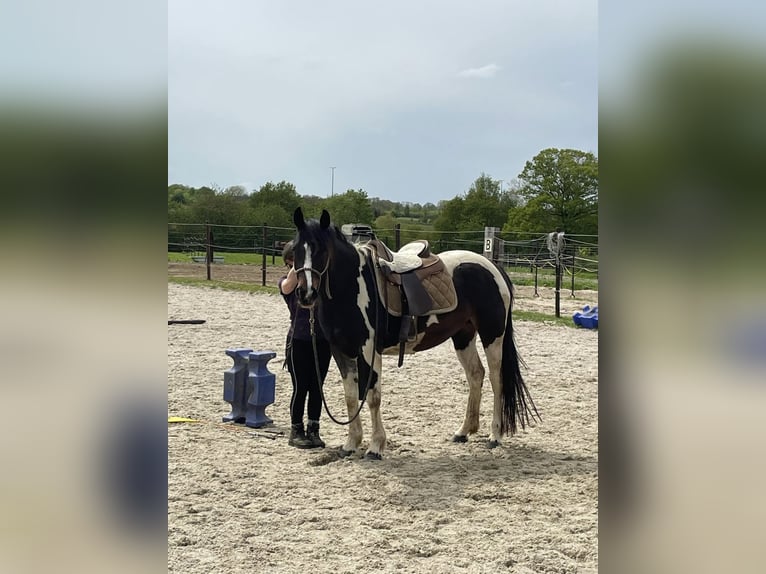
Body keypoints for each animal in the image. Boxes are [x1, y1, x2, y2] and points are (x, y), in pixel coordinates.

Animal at [290, 209, 540, 462]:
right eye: (296, 250)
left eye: (321, 250)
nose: (305, 293)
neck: (352, 286)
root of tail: (493, 267)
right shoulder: (341, 350)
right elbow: (351, 397)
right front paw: (350, 444)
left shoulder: (369, 350)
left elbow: (373, 397)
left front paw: (375, 447)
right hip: (463, 336)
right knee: (475, 374)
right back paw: (463, 432)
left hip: (492, 335)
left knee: (496, 380)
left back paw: (495, 435)